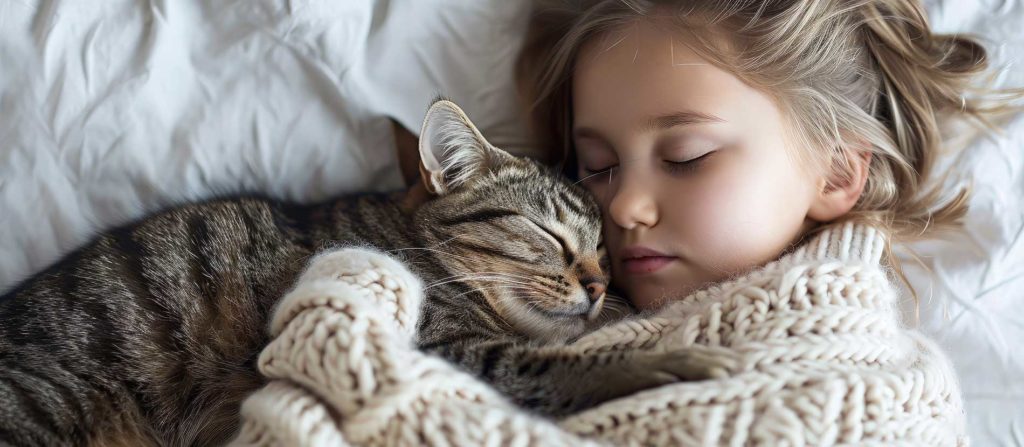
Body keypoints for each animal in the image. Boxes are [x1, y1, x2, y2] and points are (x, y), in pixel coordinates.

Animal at [0, 99, 720, 443]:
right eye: (549, 234)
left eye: (605, 251)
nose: (599, 286)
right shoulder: (444, 353)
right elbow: (563, 365)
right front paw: (666, 360)